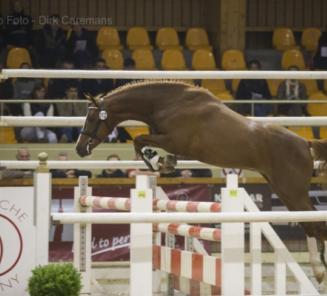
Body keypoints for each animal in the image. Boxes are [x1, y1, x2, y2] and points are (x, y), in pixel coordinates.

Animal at [77, 80, 327, 284]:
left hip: (291, 189)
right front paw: (164, 163)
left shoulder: (174, 140)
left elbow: (139, 141)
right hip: (284, 190)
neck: (168, 103)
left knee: (315, 224)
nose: (80, 149)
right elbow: (141, 144)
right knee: (310, 224)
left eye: (92, 118)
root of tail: (305, 142)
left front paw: (160, 162)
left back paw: (320, 271)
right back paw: (318, 271)